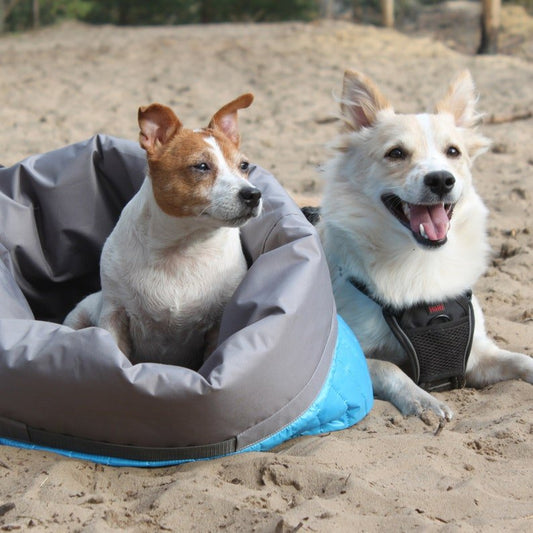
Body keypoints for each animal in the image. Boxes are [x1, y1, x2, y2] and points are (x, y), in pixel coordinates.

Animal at [64, 94, 262, 366]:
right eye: (201, 166)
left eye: (244, 165)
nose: (253, 194)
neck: (185, 246)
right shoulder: (114, 314)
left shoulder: (217, 324)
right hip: (79, 315)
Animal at [316, 69, 532, 420]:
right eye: (396, 153)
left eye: (453, 152)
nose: (441, 179)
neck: (420, 259)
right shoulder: (355, 357)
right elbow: (390, 369)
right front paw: (424, 401)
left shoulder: (477, 357)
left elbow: (522, 359)